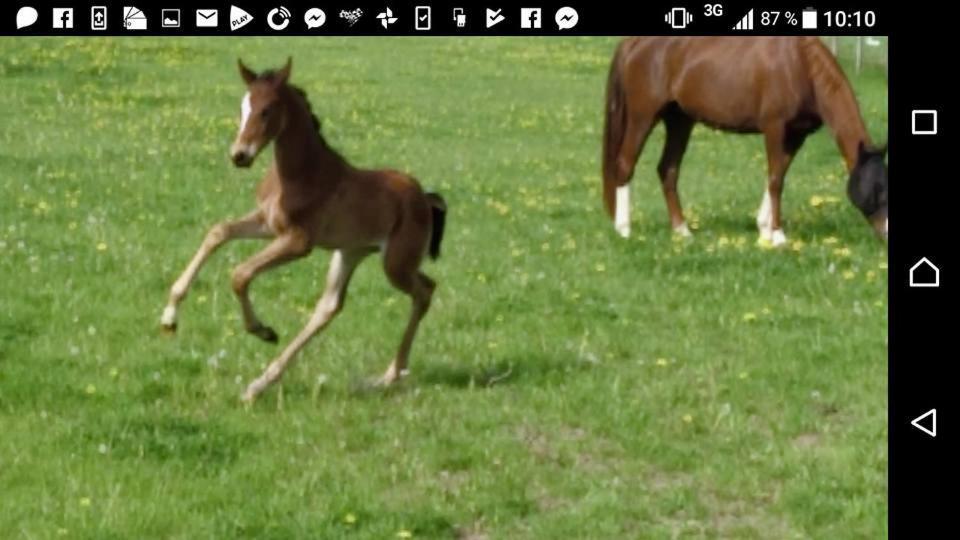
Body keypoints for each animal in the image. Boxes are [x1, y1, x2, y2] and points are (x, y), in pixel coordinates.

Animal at [160, 60, 446, 404]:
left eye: (267, 110)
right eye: (242, 106)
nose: (239, 155)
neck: (301, 173)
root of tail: (425, 198)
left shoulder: (299, 242)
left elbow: (240, 273)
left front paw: (261, 330)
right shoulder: (268, 224)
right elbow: (219, 232)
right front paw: (169, 318)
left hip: (395, 264)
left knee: (424, 291)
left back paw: (390, 375)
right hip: (350, 252)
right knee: (329, 307)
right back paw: (260, 383)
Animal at [604, 35, 888, 243]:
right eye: (877, 189)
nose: (886, 233)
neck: (801, 66)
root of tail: (634, 43)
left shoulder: (796, 136)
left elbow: (777, 175)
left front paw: (764, 228)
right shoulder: (775, 127)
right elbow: (776, 181)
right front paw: (778, 235)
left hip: (680, 120)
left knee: (668, 169)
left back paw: (682, 230)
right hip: (643, 117)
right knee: (625, 164)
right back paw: (624, 229)